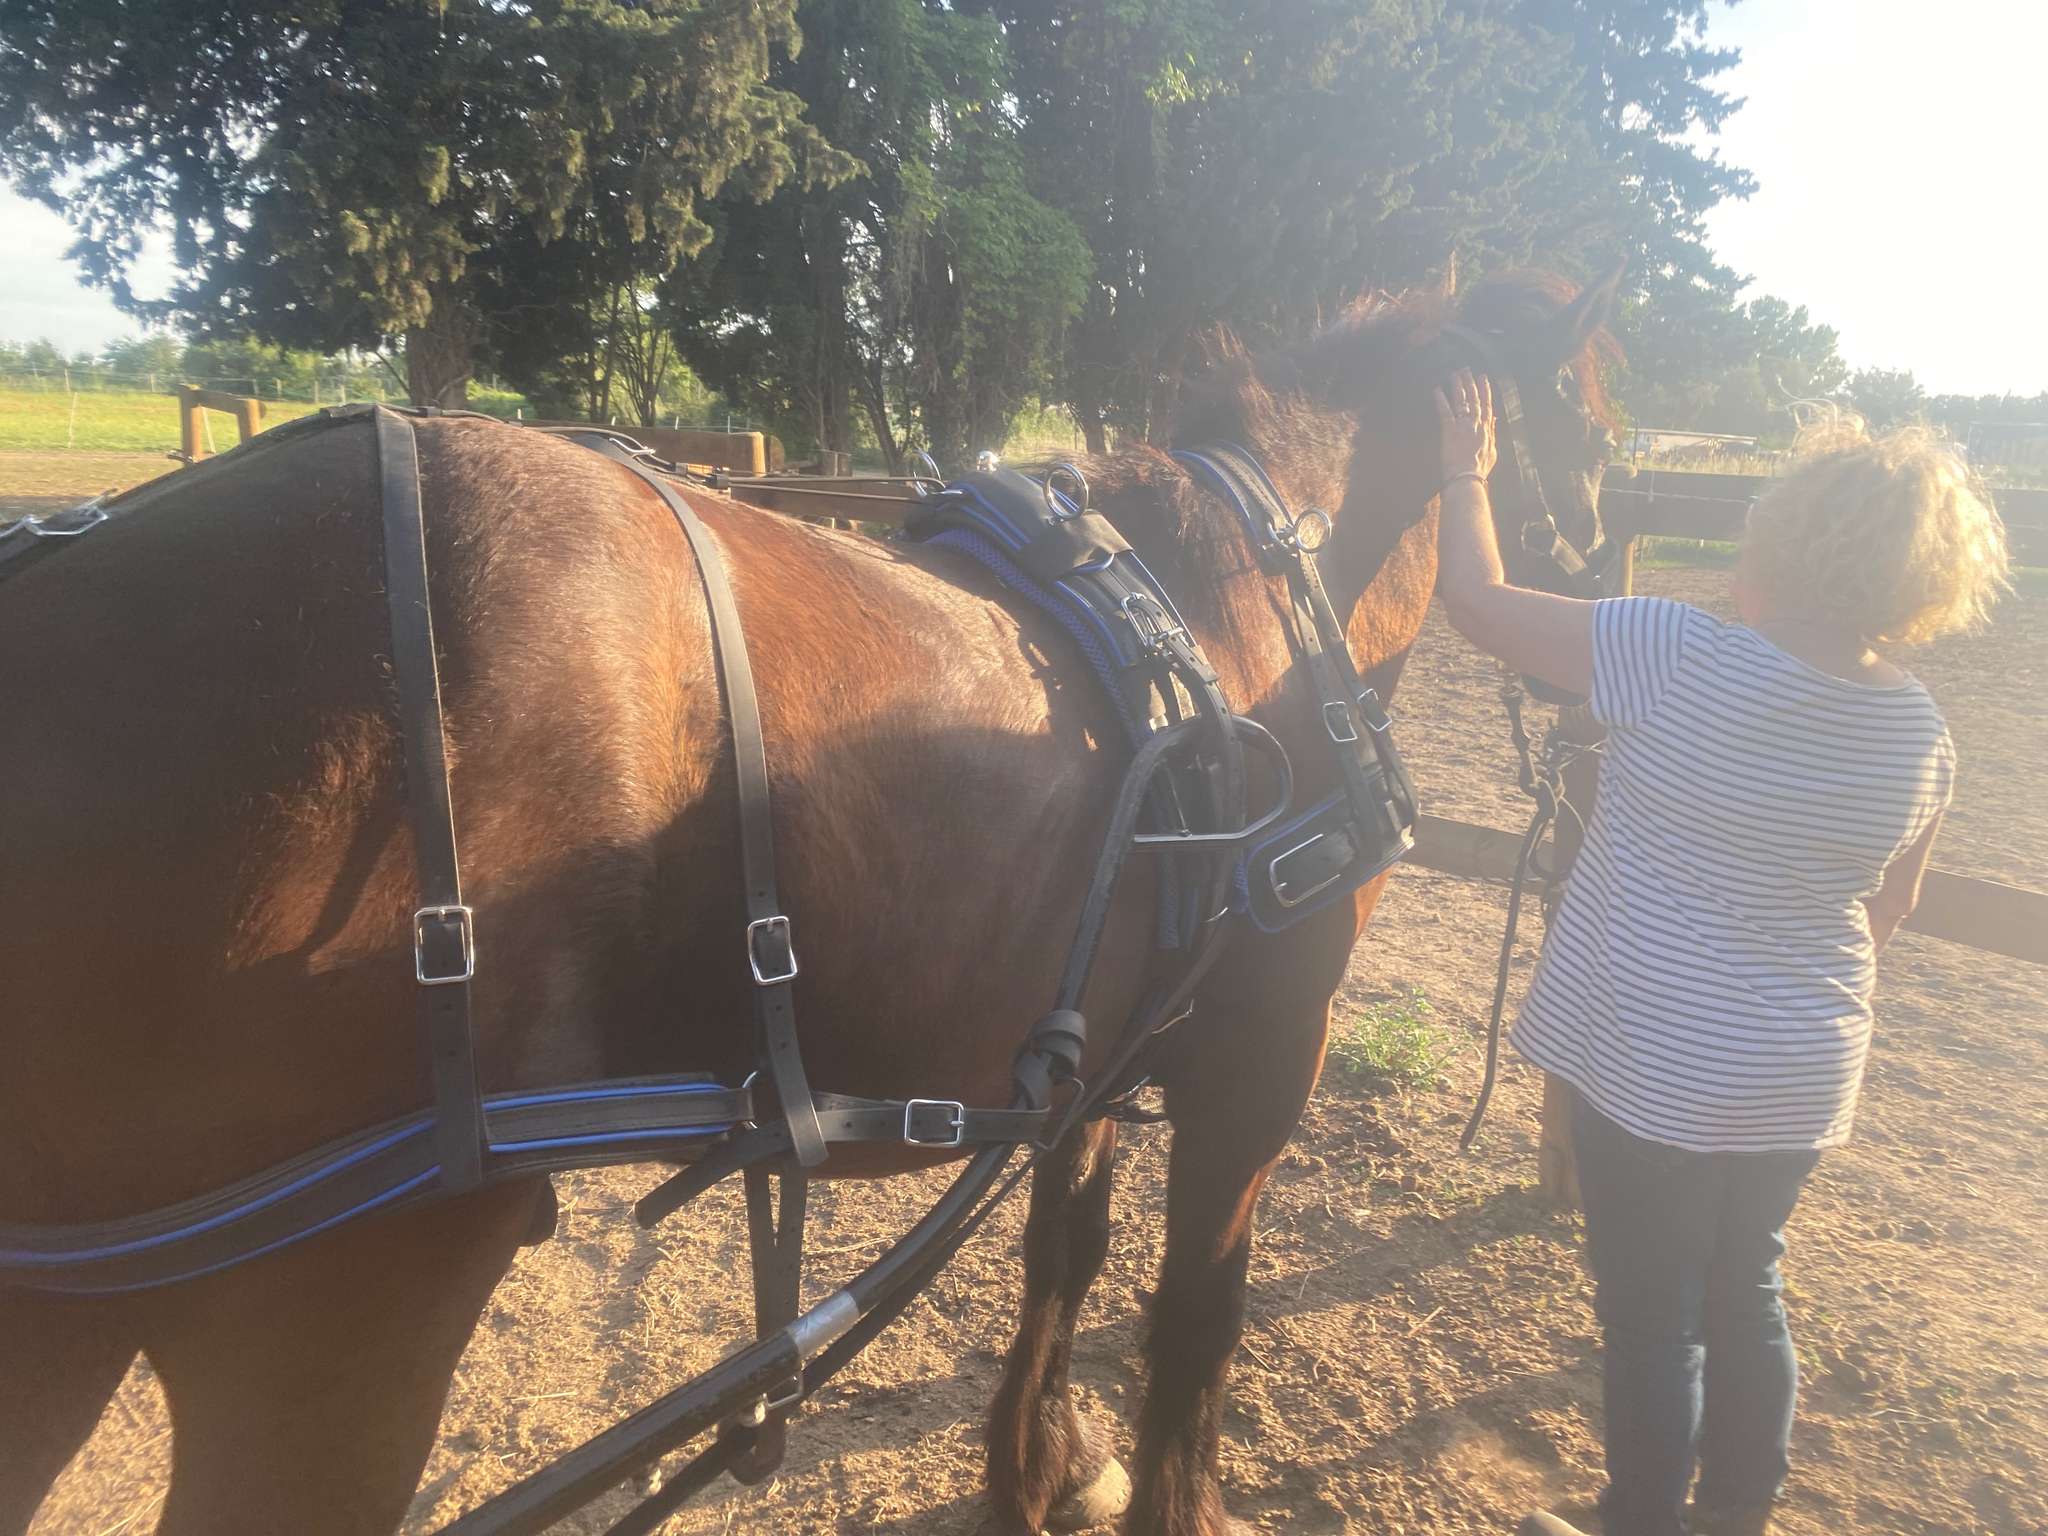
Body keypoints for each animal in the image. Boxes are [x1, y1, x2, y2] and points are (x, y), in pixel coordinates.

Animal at [0, 266, 1620, 1536]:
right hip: (329, 1312)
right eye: (1606, 433)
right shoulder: (1259, 1062)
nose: (1605, 619)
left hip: (70, 1315)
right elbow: (1196, 1315)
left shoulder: (1097, 1048)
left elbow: (1066, 1255)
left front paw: (1037, 1470)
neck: (1237, 625)